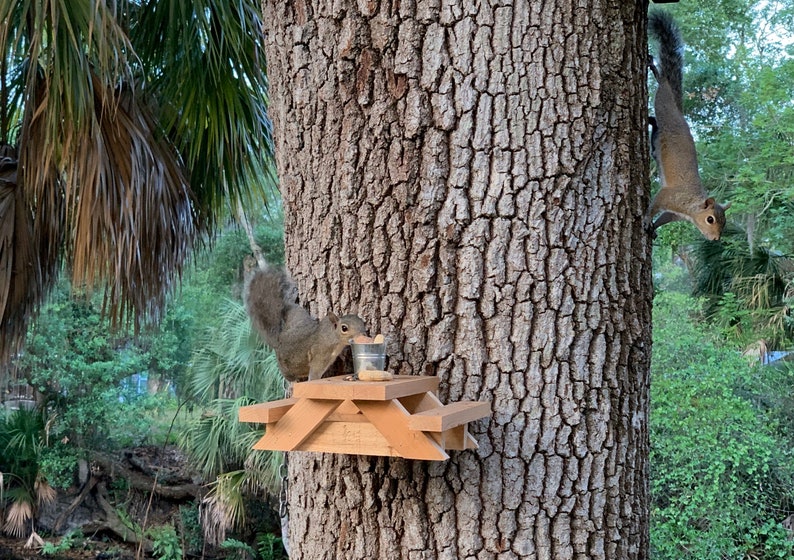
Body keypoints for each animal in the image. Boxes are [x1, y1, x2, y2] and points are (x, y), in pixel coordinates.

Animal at [646, 10, 730, 241]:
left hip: (660, 130)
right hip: (663, 103)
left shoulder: (673, 214)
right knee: (661, 89)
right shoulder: (669, 196)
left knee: (655, 125)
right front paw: (646, 219)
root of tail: (678, 111)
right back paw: (657, 72)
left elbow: (663, 218)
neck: (691, 206)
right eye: (710, 219)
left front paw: (654, 229)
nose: (715, 239)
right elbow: (654, 205)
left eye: (724, 222)